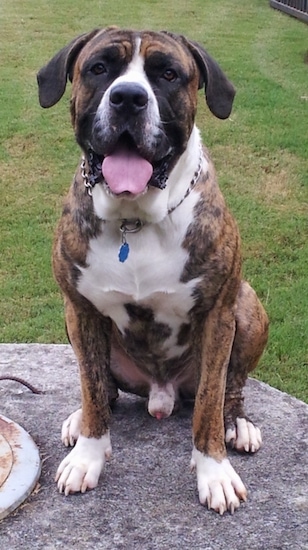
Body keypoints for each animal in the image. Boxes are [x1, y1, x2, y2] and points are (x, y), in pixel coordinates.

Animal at [36, 27, 268, 516]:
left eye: (168, 74)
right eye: (99, 68)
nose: (128, 97)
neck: (135, 220)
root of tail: (161, 394)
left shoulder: (218, 315)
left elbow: (208, 404)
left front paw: (214, 472)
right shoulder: (80, 309)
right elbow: (91, 384)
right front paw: (88, 455)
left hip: (247, 306)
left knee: (231, 387)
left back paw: (238, 424)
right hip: (74, 323)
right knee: (101, 387)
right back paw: (80, 418)